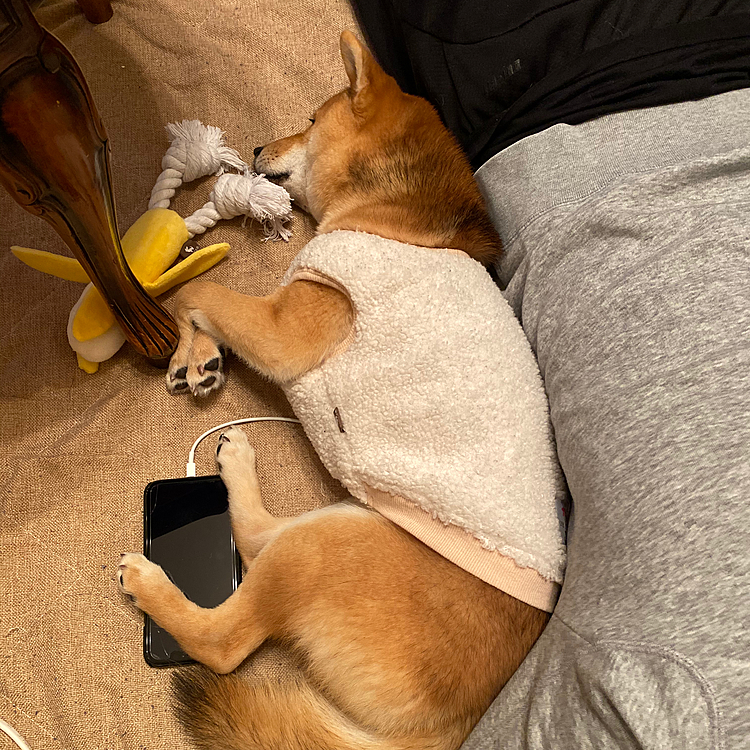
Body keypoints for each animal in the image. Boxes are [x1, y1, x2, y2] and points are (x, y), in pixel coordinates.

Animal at [119, 32, 564, 750]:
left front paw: (187, 342)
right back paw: (237, 464)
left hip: (325, 550)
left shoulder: (288, 325)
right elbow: (208, 307)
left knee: (226, 636)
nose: (255, 150)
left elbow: (198, 291)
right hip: (341, 525)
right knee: (257, 538)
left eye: (308, 118)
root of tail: (448, 726)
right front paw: (201, 355)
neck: (392, 211)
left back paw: (155, 580)